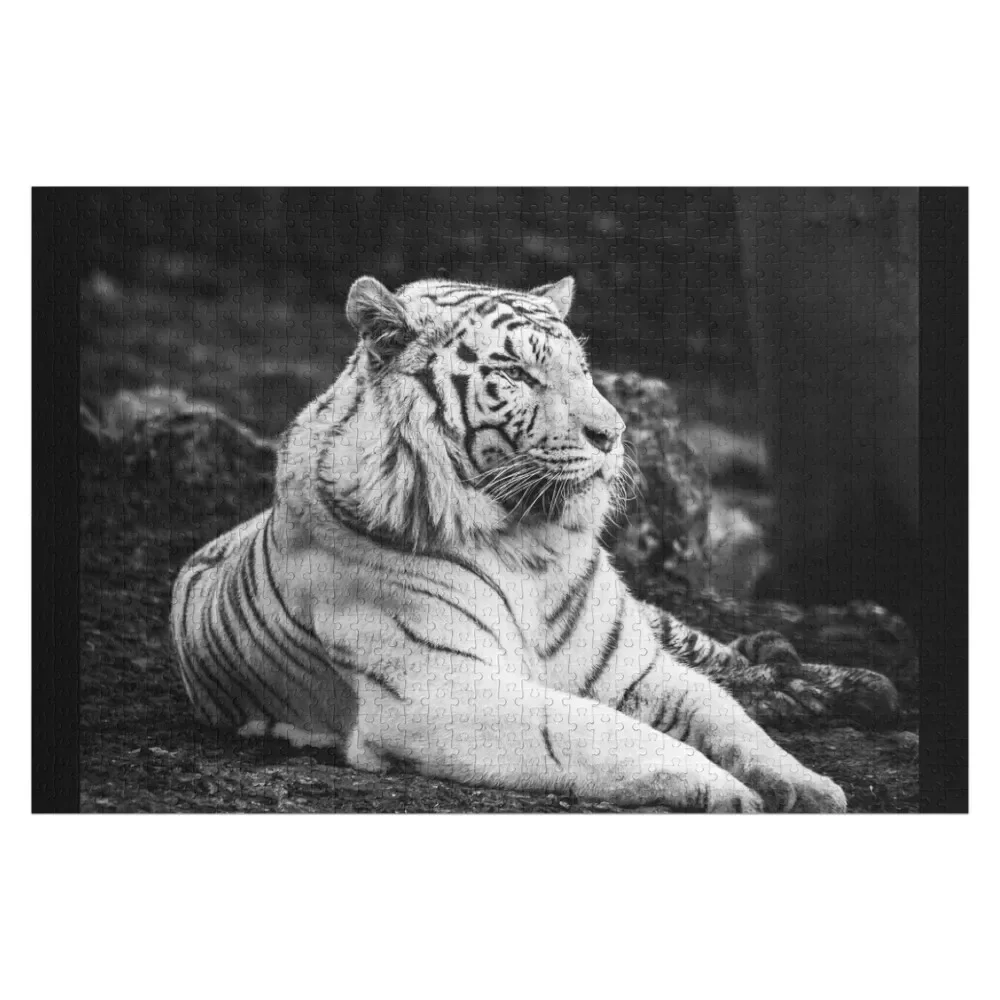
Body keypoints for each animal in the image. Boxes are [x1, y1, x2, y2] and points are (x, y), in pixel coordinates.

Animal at [170, 274, 899, 812]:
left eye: (584, 370)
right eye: (518, 374)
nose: (614, 432)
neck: (530, 545)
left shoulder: (634, 665)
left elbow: (724, 712)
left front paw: (806, 783)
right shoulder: (439, 687)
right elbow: (595, 728)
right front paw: (726, 790)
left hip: (657, 623)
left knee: (730, 657)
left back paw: (855, 685)